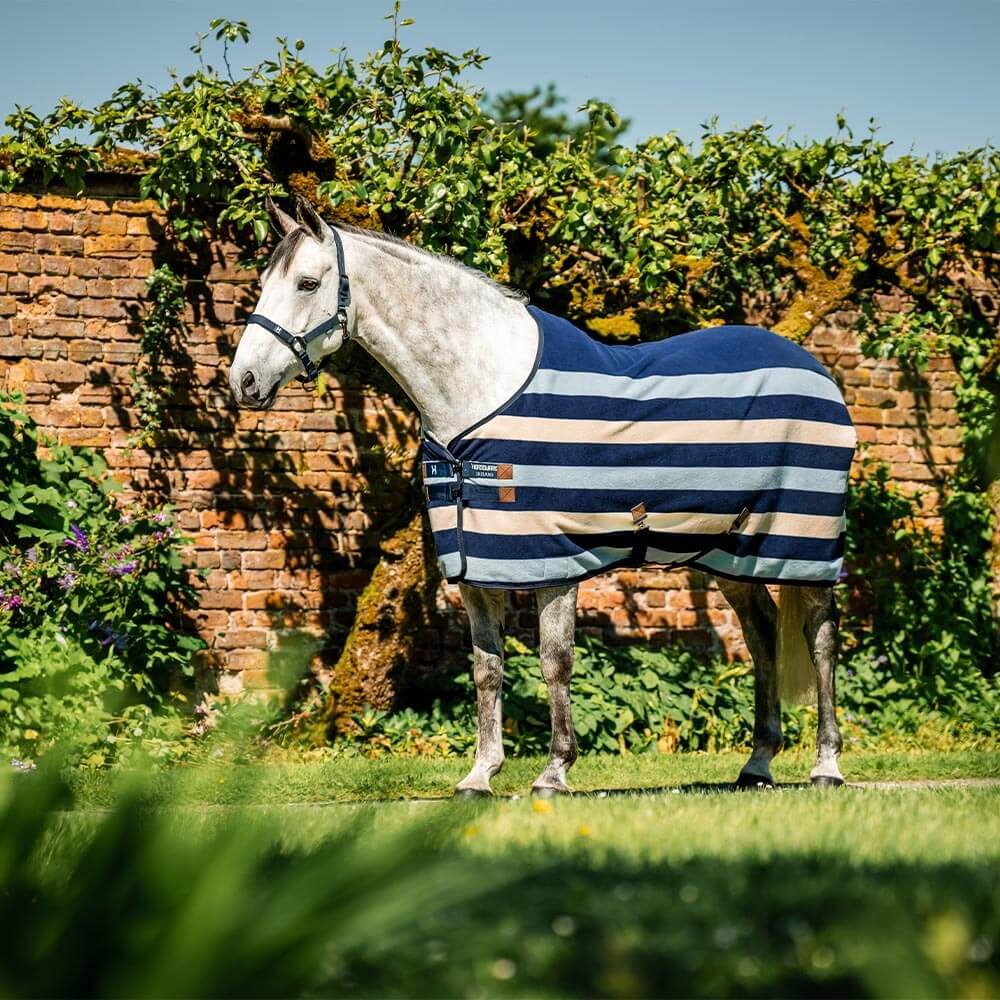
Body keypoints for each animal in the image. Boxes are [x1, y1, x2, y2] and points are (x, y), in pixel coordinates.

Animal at [229, 197, 855, 796]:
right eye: (263, 281)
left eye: (308, 283)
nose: (244, 382)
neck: (483, 388)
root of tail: (815, 370)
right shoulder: (477, 565)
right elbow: (487, 669)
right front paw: (479, 775)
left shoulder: (555, 559)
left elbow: (556, 663)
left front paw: (553, 772)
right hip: (728, 548)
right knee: (762, 633)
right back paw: (757, 764)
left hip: (805, 542)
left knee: (821, 639)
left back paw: (826, 766)